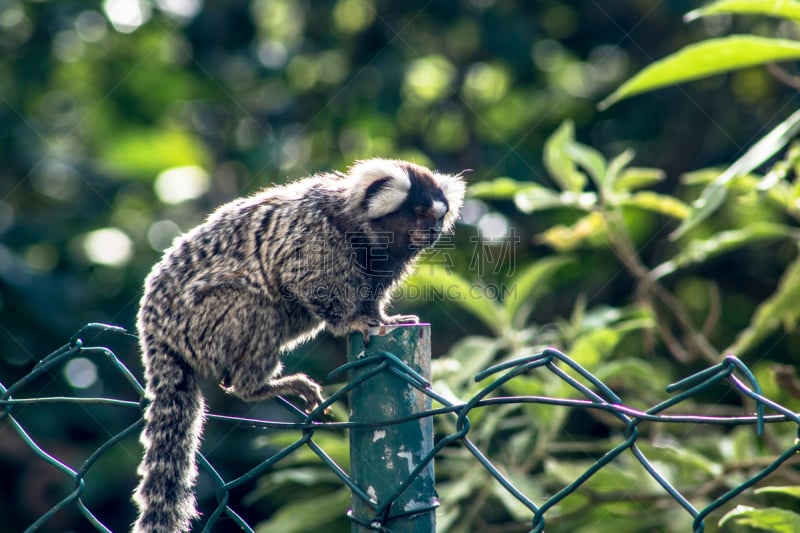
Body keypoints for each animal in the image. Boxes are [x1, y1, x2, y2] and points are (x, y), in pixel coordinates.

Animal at [133, 159, 468, 532]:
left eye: (439, 216)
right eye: (421, 212)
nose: (434, 231)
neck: (358, 227)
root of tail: (155, 329)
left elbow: (372, 297)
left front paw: (382, 318)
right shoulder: (314, 236)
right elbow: (309, 281)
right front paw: (351, 322)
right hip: (201, 322)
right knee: (258, 307)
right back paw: (257, 385)